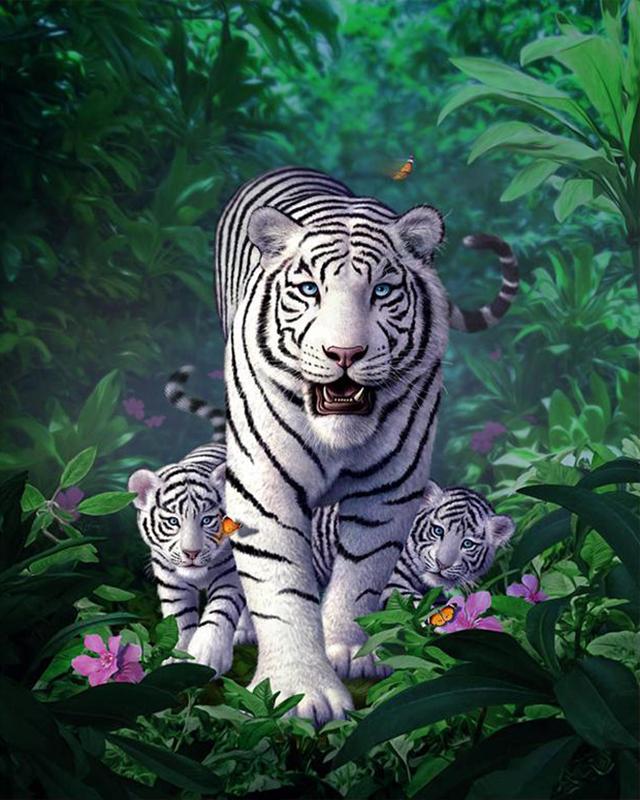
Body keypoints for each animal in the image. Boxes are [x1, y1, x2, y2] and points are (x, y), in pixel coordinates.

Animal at [127, 443, 244, 675]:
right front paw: (177, 658)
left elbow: (221, 608)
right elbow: (179, 617)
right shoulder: (171, 582)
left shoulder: (230, 575)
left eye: (207, 520)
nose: (191, 553)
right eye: (173, 521)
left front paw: (208, 655)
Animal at [212, 166, 517, 724]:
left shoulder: (390, 490)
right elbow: (281, 589)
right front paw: (301, 692)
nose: (345, 353)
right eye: (309, 289)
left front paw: (352, 653)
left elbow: (361, 577)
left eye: (382, 290)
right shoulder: (264, 490)